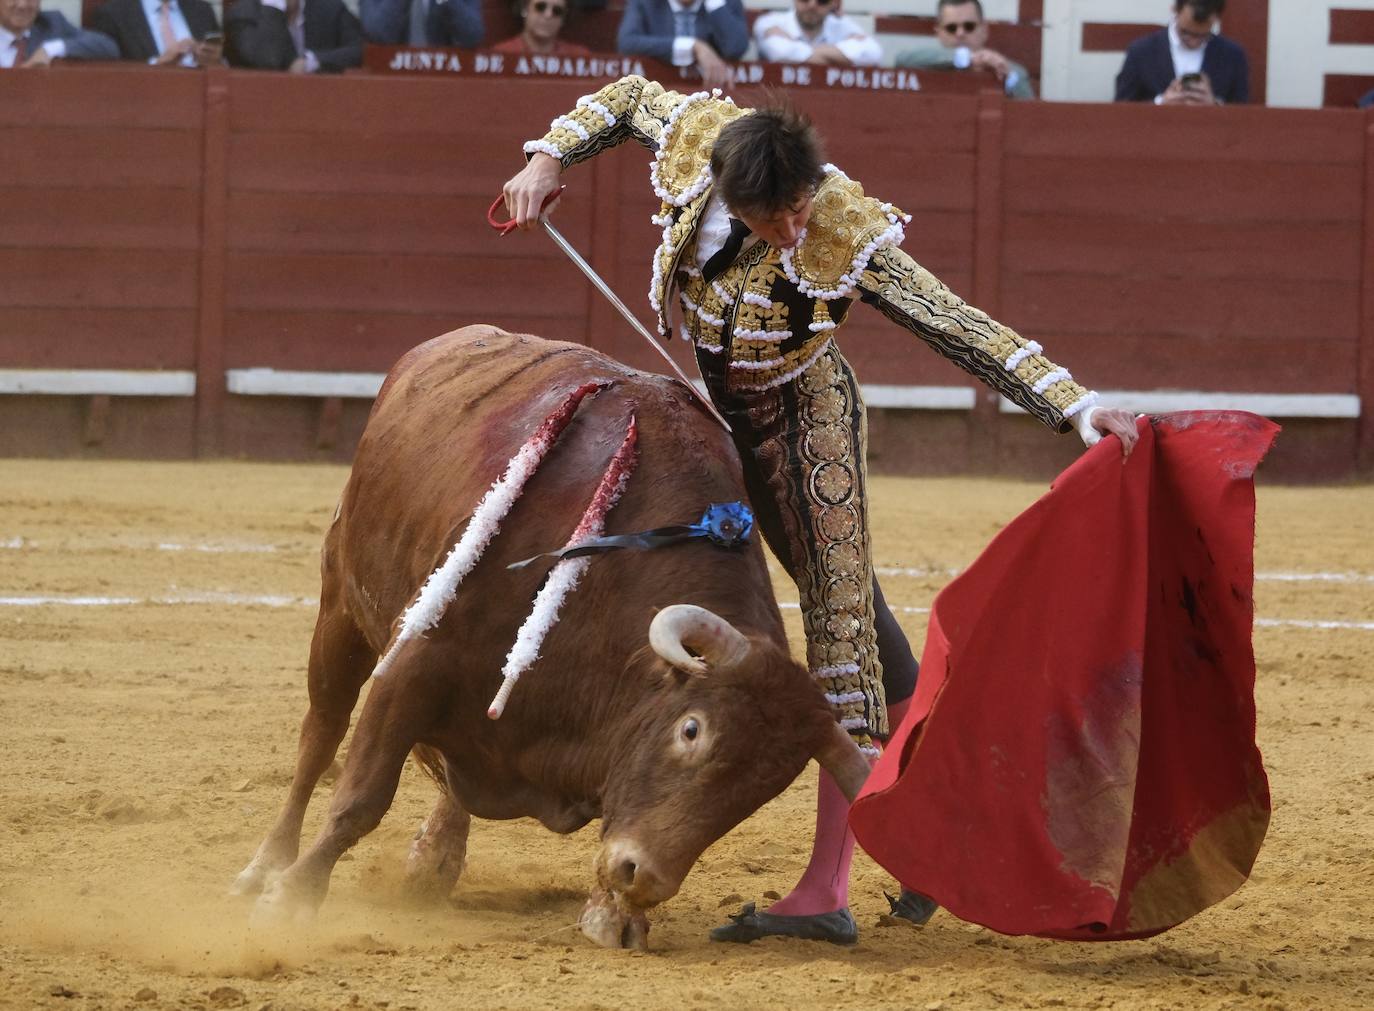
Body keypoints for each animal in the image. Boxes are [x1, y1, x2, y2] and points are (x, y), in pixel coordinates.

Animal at [230, 325, 862, 945]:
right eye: (691, 730)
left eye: (767, 788)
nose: (642, 876)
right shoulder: (417, 657)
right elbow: (361, 797)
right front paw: (290, 898)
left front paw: (616, 914)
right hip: (341, 603)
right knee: (321, 734)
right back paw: (265, 866)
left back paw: (433, 860)